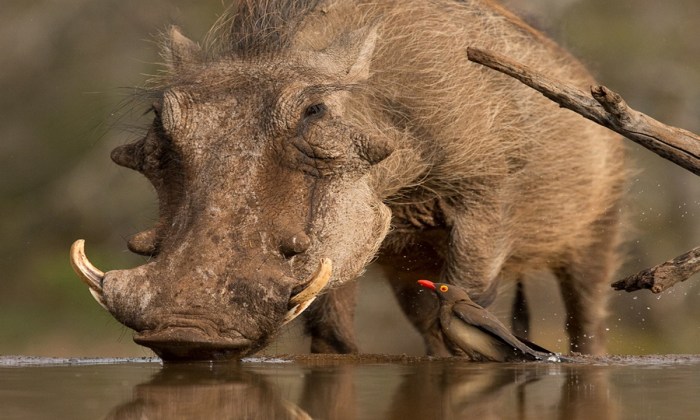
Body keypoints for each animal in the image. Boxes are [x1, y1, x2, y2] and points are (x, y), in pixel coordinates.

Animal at [71, 0, 626, 360]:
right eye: (158, 116)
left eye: (314, 110)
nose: (187, 329)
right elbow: (334, 337)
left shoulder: (485, 197)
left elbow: (468, 301)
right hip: (409, 267)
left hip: (600, 231)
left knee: (588, 320)